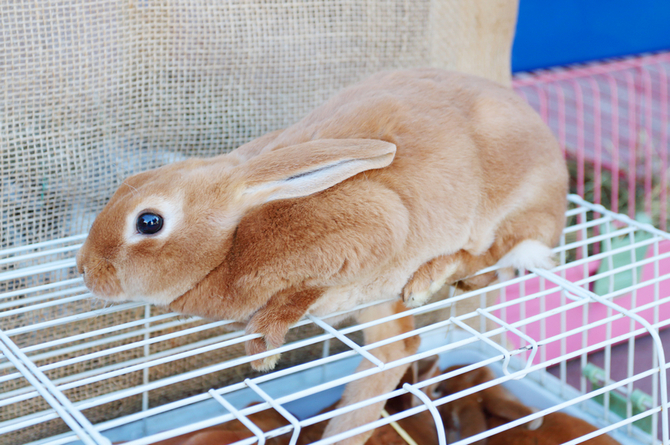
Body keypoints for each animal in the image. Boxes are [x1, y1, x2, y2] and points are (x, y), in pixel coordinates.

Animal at [76, 67, 568, 442]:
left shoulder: (374, 230)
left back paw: (430, 277)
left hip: (505, 213)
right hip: (378, 301)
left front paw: (263, 345)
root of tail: (560, 201)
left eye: (149, 222)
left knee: (490, 259)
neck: (234, 237)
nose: (84, 270)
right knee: (400, 346)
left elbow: (302, 292)